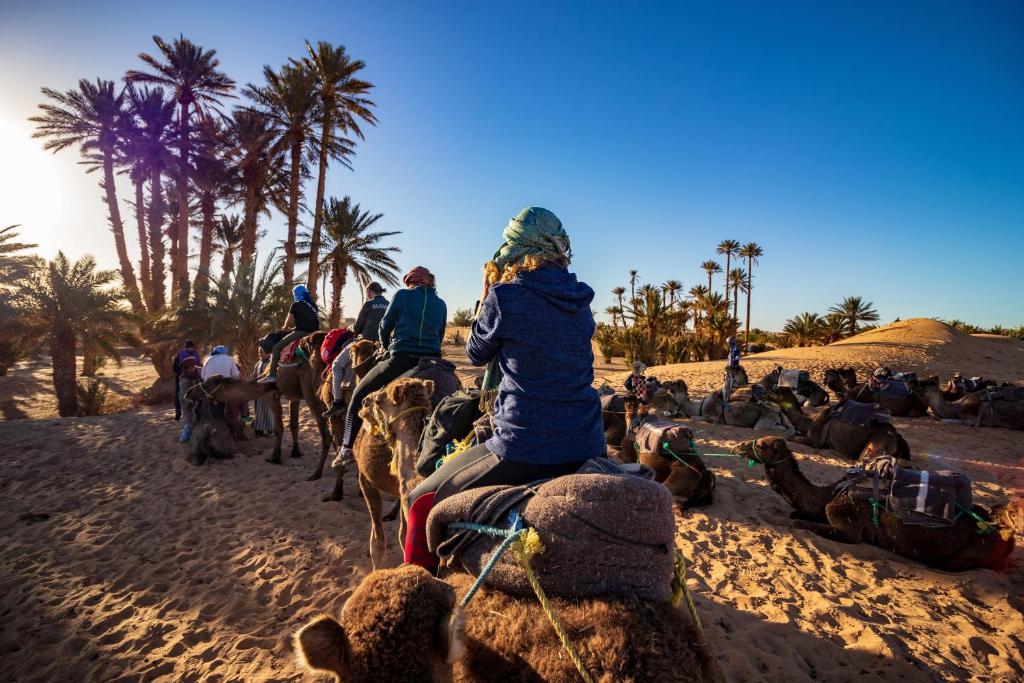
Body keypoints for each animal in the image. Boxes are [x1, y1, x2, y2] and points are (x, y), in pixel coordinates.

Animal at [733, 438, 1019, 573]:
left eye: (763, 444)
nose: (738, 446)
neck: (827, 494)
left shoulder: (846, 526)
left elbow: (798, 520)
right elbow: (797, 512)